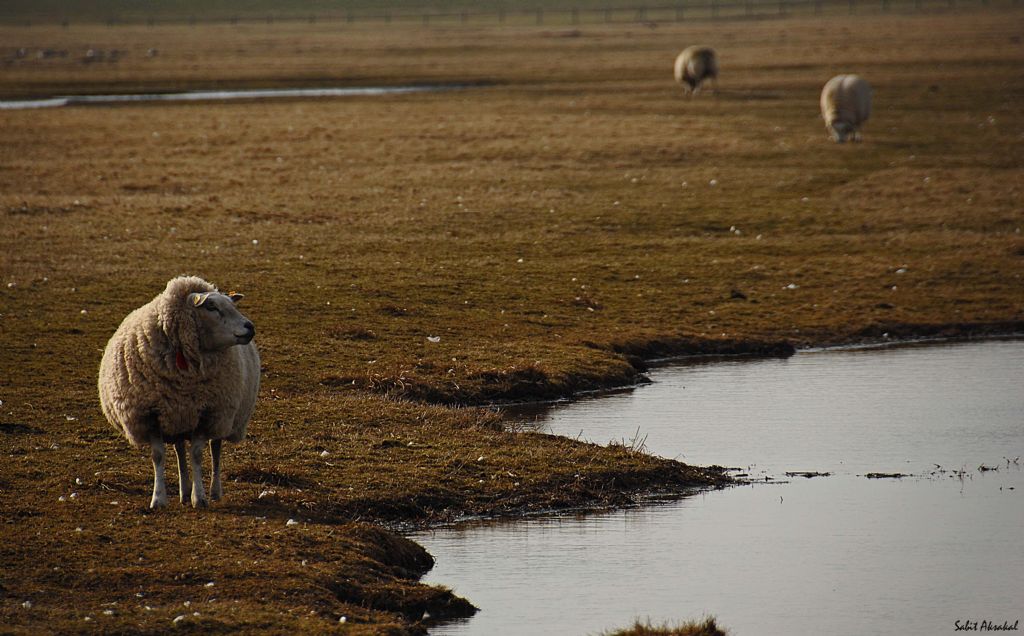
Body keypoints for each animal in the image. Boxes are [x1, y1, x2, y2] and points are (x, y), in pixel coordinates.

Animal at [97, 274, 260, 507]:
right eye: (211, 306)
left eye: (232, 305)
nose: (250, 327)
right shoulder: (150, 415)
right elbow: (158, 456)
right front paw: (158, 498)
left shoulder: (207, 413)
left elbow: (198, 455)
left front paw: (199, 498)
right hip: (177, 418)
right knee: (180, 449)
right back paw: (184, 492)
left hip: (222, 415)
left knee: (215, 449)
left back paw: (214, 491)